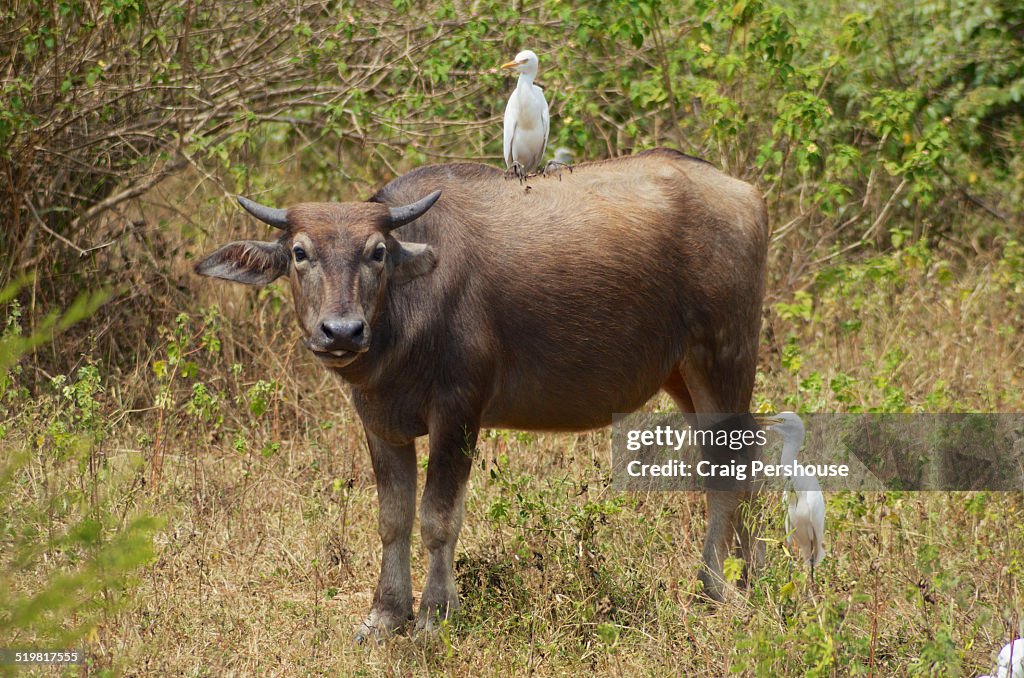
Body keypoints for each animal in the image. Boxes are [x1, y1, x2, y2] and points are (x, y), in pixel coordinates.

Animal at [193, 150, 770, 643]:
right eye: (300, 253)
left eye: (376, 252)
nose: (341, 331)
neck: (406, 315)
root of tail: (745, 194)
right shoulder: (380, 422)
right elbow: (392, 518)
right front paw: (384, 616)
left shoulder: (458, 413)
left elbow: (437, 516)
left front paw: (433, 617)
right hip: (681, 377)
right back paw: (749, 574)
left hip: (724, 358)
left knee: (730, 466)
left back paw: (715, 587)